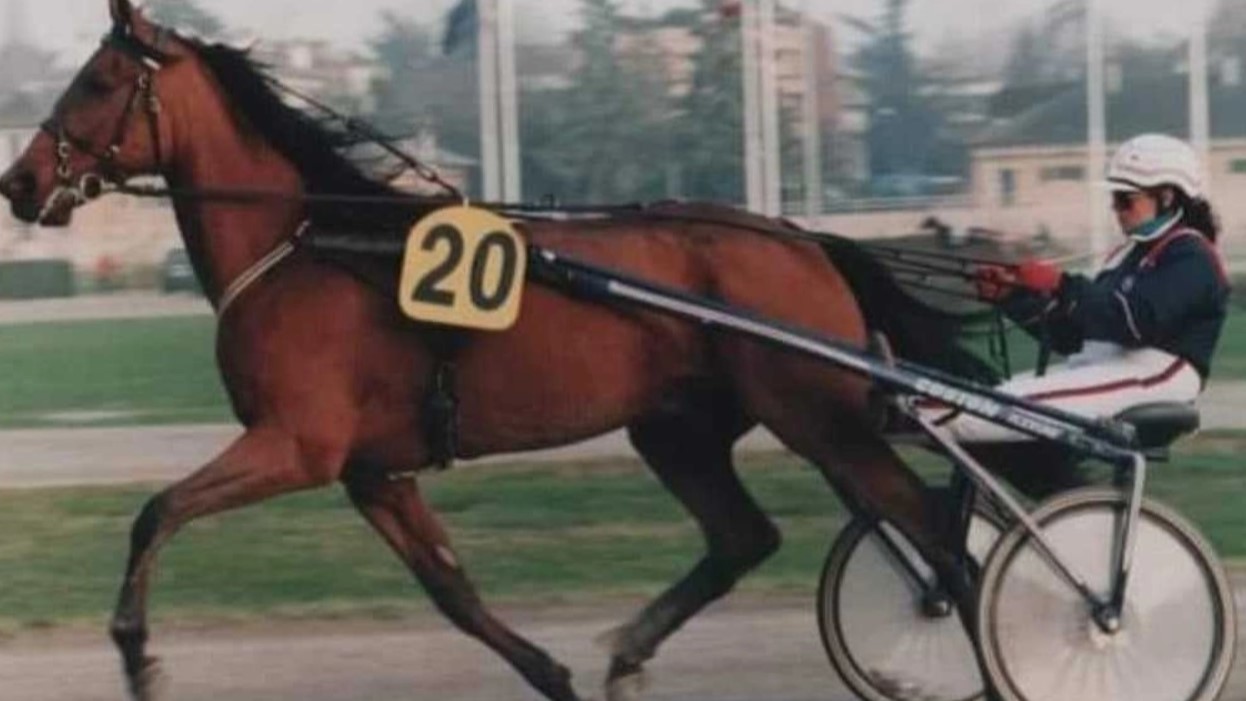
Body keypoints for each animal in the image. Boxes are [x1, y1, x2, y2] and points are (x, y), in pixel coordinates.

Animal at [0, 2, 997, 699]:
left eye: (97, 82)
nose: (19, 180)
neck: (305, 242)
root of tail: (803, 237)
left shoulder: (296, 443)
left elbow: (156, 510)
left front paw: (136, 652)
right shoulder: (373, 471)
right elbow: (453, 591)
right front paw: (552, 672)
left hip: (818, 416)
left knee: (937, 534)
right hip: (680, 426)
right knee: (746, 534)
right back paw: (630, 651)